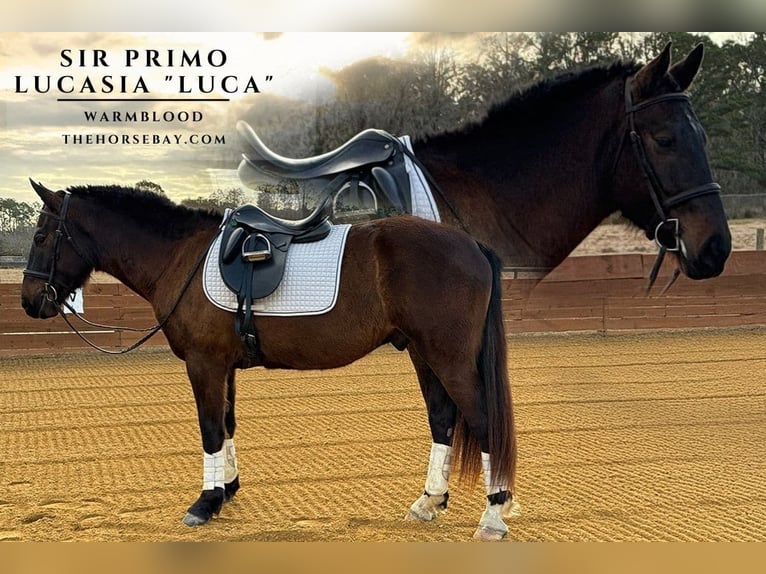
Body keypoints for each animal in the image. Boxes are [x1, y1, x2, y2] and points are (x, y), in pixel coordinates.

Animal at [20, 181, 517, 541]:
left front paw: (204, 503)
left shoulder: (203, 363)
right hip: (421, 353)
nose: (29, 301)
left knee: (483, 421)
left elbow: (209, 429)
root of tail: (471, 245)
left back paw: (493, 516)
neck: (181, 257)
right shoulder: (223, 366)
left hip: (449, 359)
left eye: (42, 235)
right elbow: (227, 424)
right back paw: (430, 501)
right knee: (442, 419)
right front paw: (226, 489)